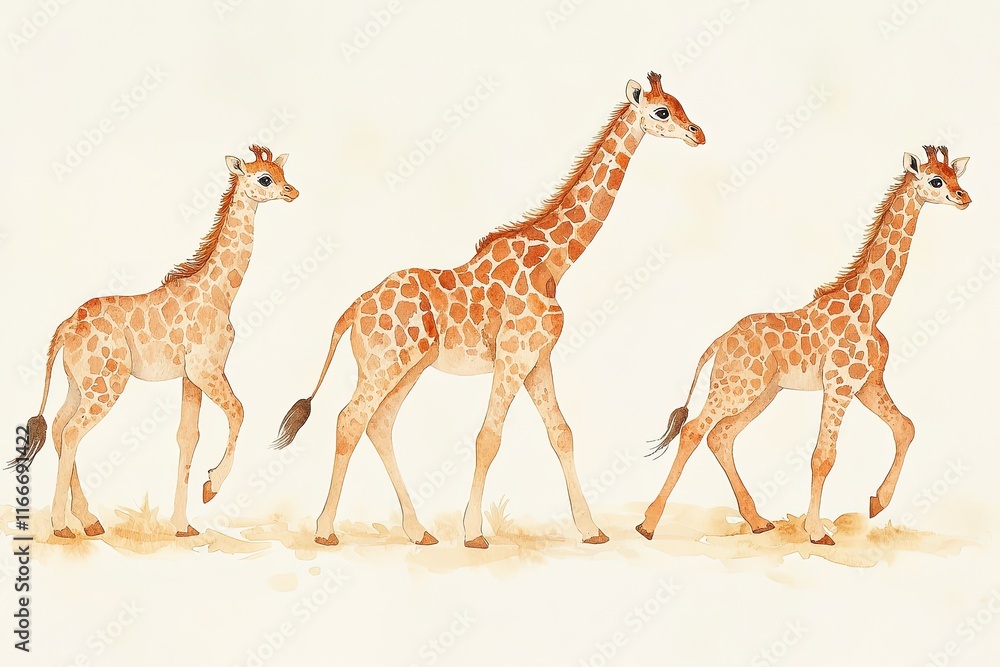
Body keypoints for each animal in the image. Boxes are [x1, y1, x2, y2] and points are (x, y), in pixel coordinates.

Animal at [11, 145, 298, 539]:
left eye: (283, 173)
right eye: (265, 178)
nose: (292, 192)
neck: (222, 294)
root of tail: (64, 330)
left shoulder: (191, 376)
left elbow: (188, 436)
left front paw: (183, 525)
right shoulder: (207, 367)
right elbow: (239, 410)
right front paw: (212, 486)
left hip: (78, 383)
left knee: (57, 426)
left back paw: (89, 521)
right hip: (106, 384)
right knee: (71, 432)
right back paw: (61, 526)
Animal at [275, 72, 705, 548]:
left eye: (680, 103)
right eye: (662, 111)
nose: (697, 133)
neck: (553, 262)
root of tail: (351, 310)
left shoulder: (538, 358)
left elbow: (562, 434)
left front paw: (592, 530)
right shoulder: (514, 355)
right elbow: (488, 438)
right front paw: (473, 533)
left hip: (409, 366)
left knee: (379, 423)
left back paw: (418, 531)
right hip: (382, 365)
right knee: (350, 420)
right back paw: (325, 531)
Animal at [636, 146, 970, 545]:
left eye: (956, 175)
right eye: (935, 181)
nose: (964, 197)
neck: (872, 307)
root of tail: (720, 341)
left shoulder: (867, 383)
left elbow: (906, 427)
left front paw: (877, 502)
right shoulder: (839, 384)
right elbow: (823, 456)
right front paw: (816, 531)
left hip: (763, 391)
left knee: (721, 436)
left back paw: (758, 521)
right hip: (735, 387)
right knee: (694, 430)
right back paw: (648, 524)